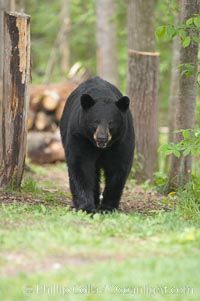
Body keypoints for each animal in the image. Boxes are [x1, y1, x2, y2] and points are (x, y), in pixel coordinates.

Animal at [59, 76, 134, 212]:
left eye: (111, 123)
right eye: (95, 122)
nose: (102, 138)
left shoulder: (122, 140)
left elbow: (118, 167)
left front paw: (107, 207)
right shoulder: (80, 136)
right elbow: (81, 165)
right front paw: (86, 207)